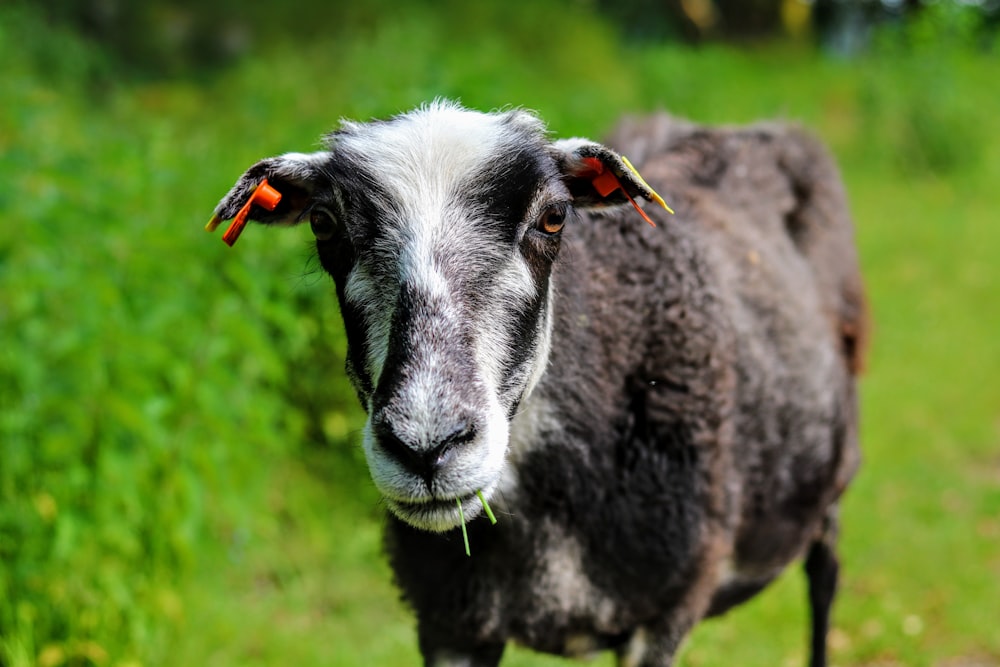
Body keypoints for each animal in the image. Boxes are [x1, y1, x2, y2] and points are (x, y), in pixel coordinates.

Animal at [209, 100, 868, 667]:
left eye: (553, 218)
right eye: (323, 223)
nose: (426, 447)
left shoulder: (663, 615)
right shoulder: (449, 623)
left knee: (825, 581)